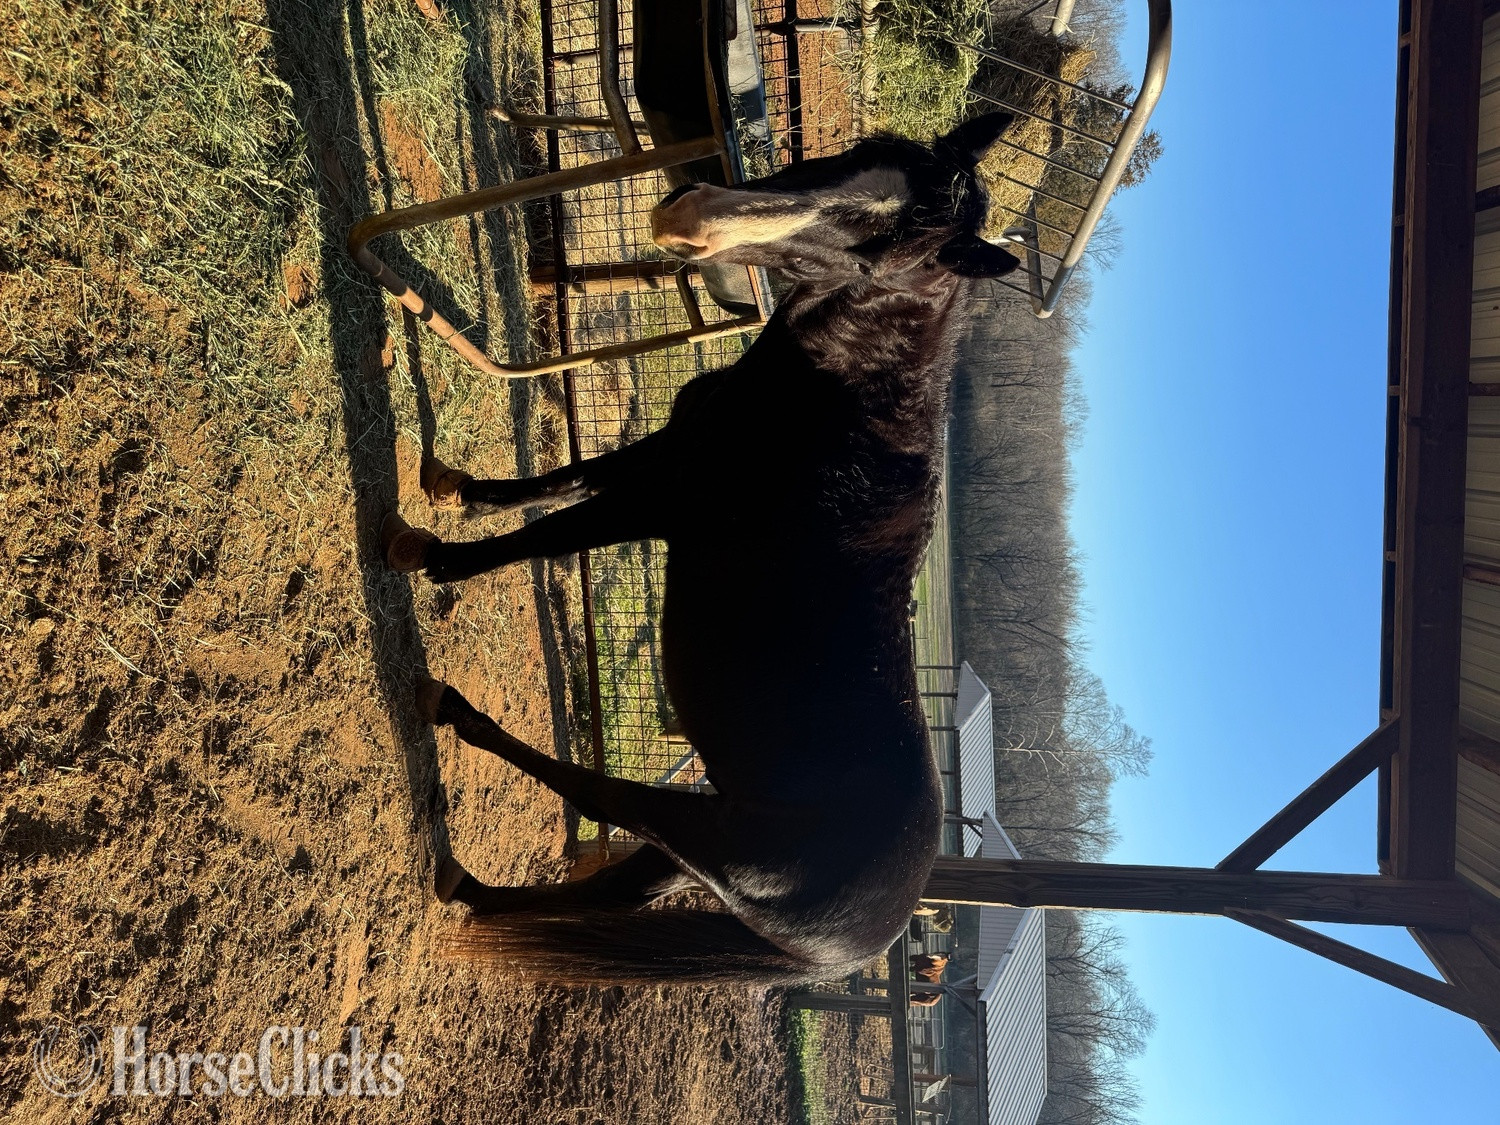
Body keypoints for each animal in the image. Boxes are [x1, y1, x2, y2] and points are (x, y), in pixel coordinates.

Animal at [382, 112, 1021, 985]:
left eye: (883, 252)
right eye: (862, 154)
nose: (692, 213)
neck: (844, 401)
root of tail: (874, 934)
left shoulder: (663, 501)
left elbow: (547, 533)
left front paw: (433, 557)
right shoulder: (665, 453)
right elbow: (562, 480)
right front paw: (455, 488)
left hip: (704, 838)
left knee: (598, 800)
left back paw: (448, 711)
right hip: (685, 853)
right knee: (603, 893)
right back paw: (467, 887)